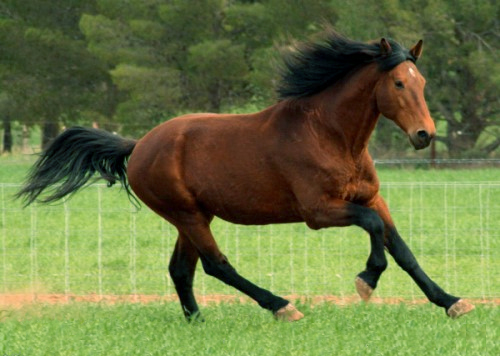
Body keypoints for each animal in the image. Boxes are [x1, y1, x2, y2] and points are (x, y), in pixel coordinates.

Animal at [15, 32, 474, 322]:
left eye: (422, 81)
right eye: (397, 83)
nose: (424, 135)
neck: (331, 135)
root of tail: (139, 144)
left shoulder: (372, 198)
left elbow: (402, 249)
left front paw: (452, 302)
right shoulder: (319, 211)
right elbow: (376, 231)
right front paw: (366, 281)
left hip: (193, 216)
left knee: (181, 270)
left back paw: (197, 321)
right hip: (187, 215)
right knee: (216, 265)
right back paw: (282, 306)